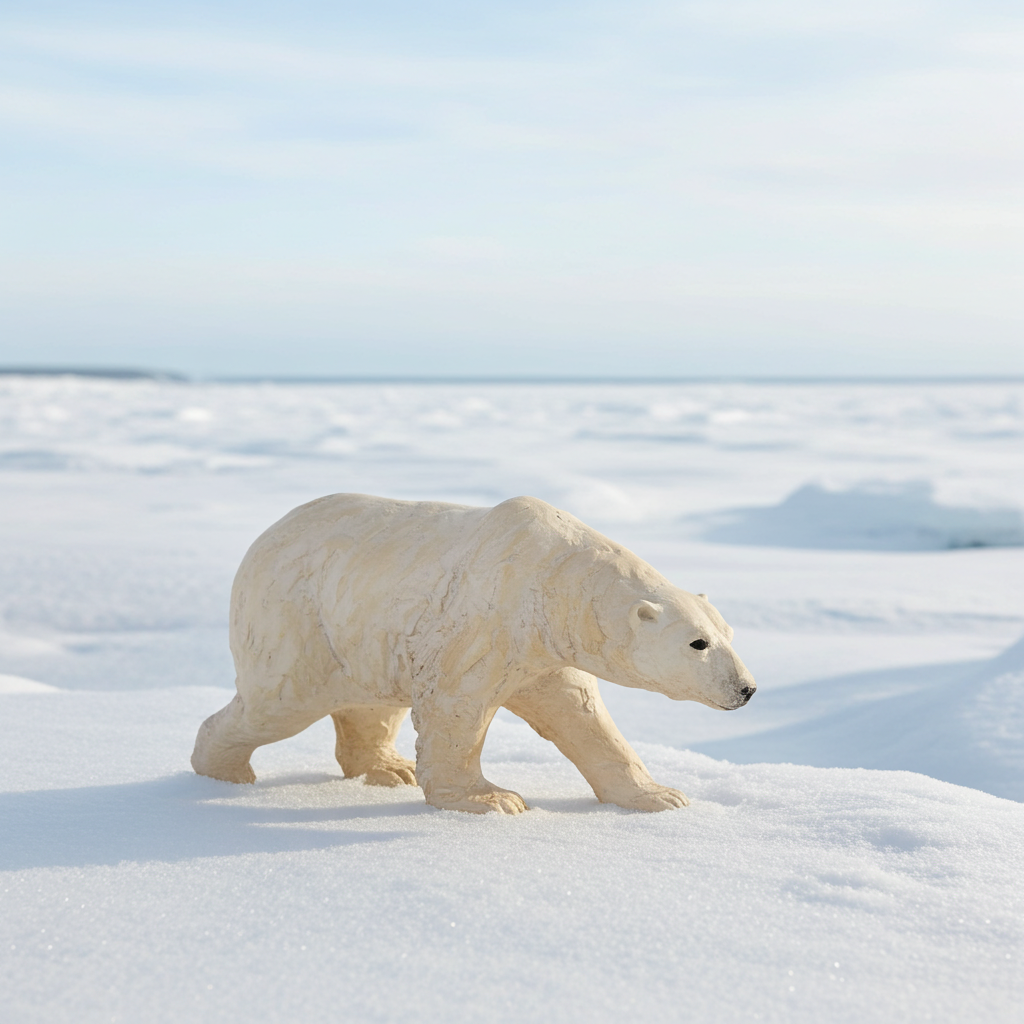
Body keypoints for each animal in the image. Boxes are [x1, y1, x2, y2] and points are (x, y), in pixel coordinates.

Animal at [191, 494, 755, 814]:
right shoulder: (486, 619)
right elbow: (454, 706)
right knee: (275, 703)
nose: (747, 689)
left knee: (371, 706)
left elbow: (583, 717)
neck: (551, 579)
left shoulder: (544, 652)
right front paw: (491, 799)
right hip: (295, 619)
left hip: (363, 630)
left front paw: (661, 796)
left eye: (729, 631)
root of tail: (262, 540)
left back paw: (390, 769)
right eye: (698, 643)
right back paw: (224, 772)